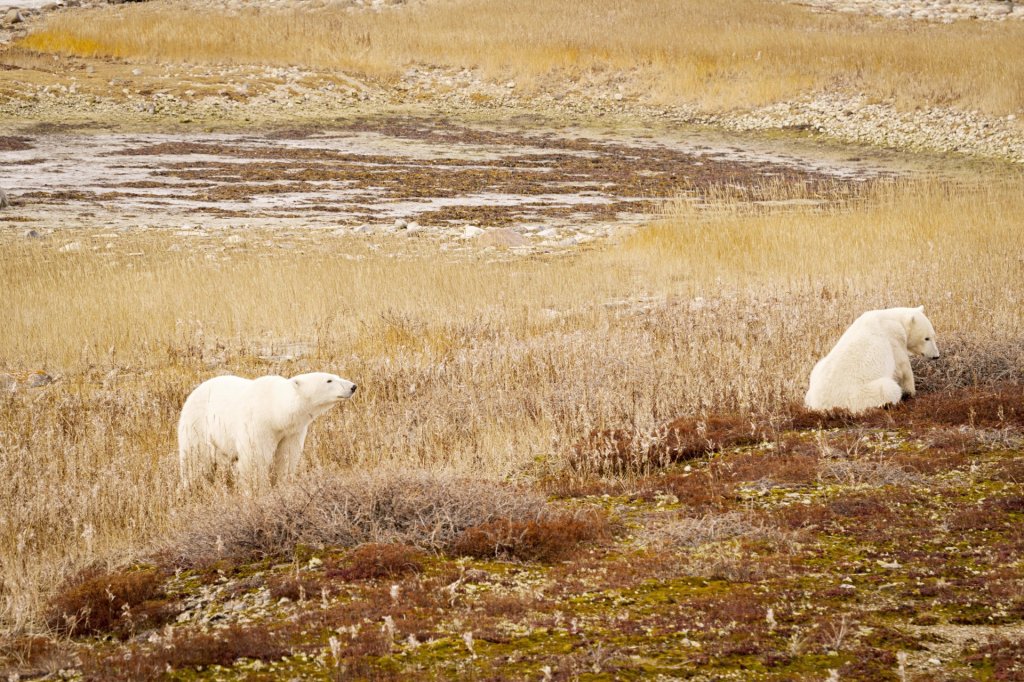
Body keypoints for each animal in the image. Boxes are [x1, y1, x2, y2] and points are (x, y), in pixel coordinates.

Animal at [178, 372, 357, 489]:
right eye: (329, 380)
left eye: (336, 375)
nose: (353, 386)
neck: (275, 410)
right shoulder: (258, 424)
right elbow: (255, 459)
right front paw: (258, 490)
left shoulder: (292, 431)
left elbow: (287, 456)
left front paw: (282, 484)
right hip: (198, 422)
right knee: (195, 457)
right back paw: (191, 486)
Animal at [804, 306, 939, 414]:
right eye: (927, 338)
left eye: (933, 335)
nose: (936, 356)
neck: (893, 319)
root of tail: (821, 407)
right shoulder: (893, 339)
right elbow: (903, 367)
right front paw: (911, 392)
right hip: (859, 395)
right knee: (887, 388)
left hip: (815, 378)